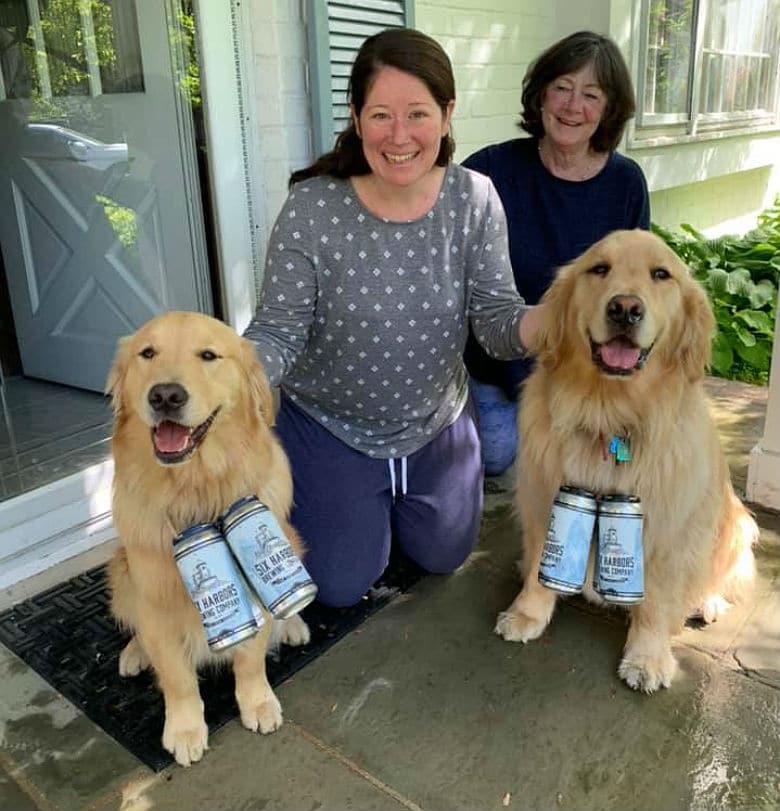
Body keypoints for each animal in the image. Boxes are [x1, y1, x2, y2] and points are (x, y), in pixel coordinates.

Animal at [106, 310, 308, 768]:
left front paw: (257, 702)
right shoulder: (156, 597)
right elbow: (177, 678)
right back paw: (135, 652)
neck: (195, 487)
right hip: (122, 569)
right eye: (148, 353)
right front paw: (184, 729)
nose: (165, 395)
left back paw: (293, 622)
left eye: (209, 356)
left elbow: (250, 657)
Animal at [496, 228, 760, 692]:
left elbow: (657, 599)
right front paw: (528, 612)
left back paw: (707, 601)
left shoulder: (670, 526)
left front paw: (648, 656)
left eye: (661, 274)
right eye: (599, 268)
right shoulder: (543, 496)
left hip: (737, 525)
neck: (608, 413)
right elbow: (540, 565)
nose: (625, 308)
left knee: (715, 573)